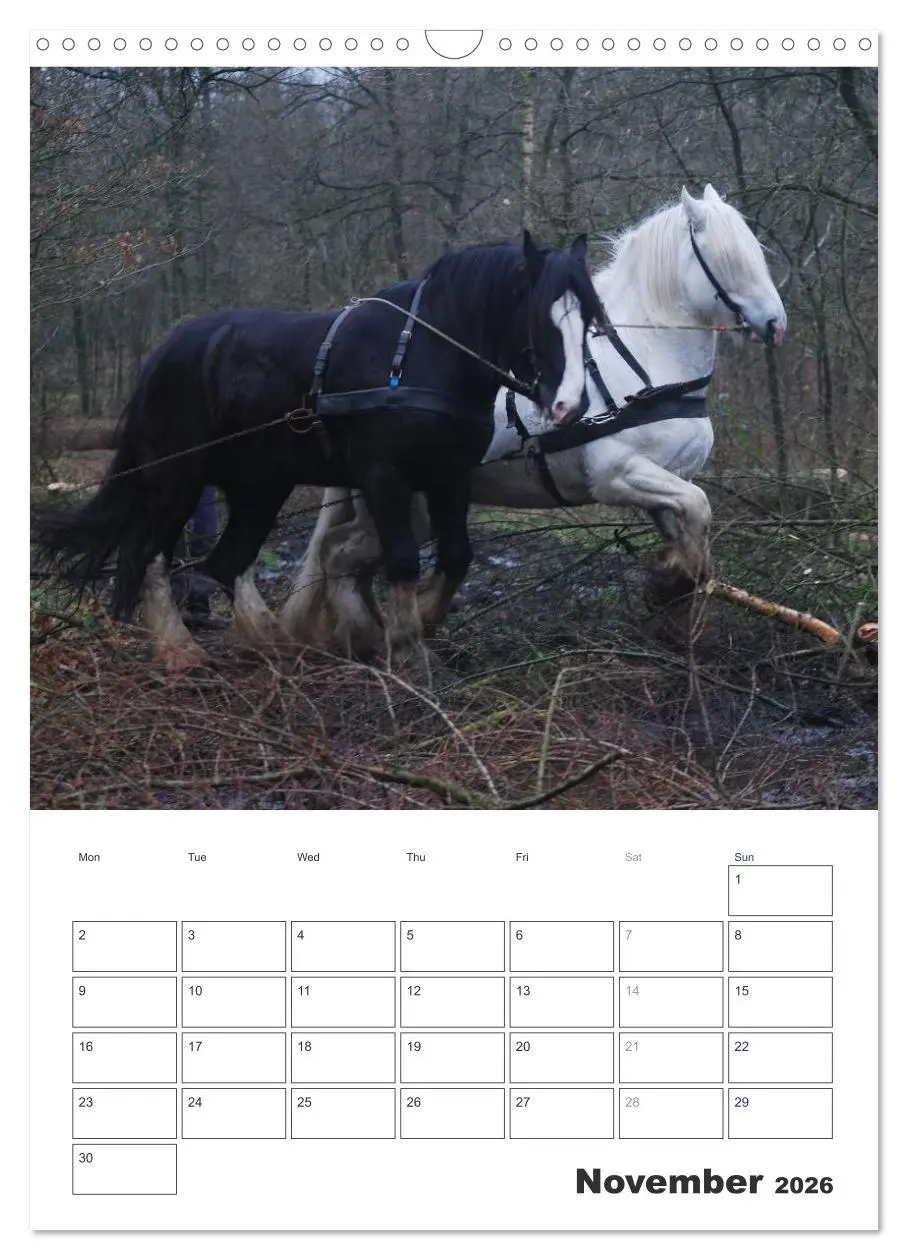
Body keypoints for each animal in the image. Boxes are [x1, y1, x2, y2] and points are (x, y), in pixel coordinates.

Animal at [34, 232, 605, 668]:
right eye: (543, 317)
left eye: (589, 319)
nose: (570, 405)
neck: (420, 355)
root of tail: (165, 352)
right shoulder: (384, 475)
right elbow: (401, 560)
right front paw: (404, 645)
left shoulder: (450, 475)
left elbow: (457, 557)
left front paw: (411, 625)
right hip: (175, 478)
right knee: (147, 554)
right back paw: (179, 651)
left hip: (260, 485)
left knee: (226, 560)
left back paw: (269, 643)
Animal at [281, 186, 787, 655]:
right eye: (728, 258)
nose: (775, 324)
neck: (648, 362)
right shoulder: (617, 474)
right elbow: (700, 507)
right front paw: (667, 584)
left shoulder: (664, 480)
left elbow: (693, 536)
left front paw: (672, 599)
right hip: (405, 498)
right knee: (340, 554)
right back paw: (373, 632)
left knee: (342, 556)